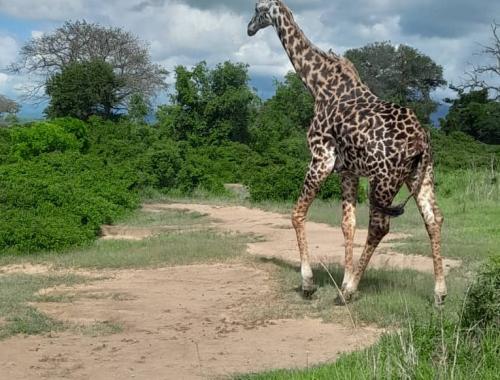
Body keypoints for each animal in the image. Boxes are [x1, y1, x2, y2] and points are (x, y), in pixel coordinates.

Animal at [248, 0, 448, 306]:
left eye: (257, 9)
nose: (249, 29)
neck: (318, 85)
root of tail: (422, 142)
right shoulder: (348, 170)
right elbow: (347, 224)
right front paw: (342, 278)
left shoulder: (321, 157)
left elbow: (297, 213)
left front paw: (309, 284)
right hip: (421, 175)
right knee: (433, 218)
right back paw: (439, 293)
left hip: (383, 180)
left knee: (380, 227)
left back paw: (350, 291)